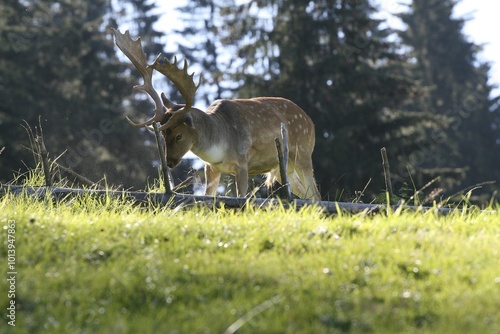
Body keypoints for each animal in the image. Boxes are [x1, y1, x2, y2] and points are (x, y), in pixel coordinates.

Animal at [112, 28, 320, 200]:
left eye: (179, 135)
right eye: (163, 133)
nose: (170, 162)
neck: (219, 144)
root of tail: (310, 121)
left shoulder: (242, 162)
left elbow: (241, 197)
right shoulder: (210, 168)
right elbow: (208, 196)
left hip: (303, 153)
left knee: (316, 196)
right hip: (287, 168)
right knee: (307, 196)